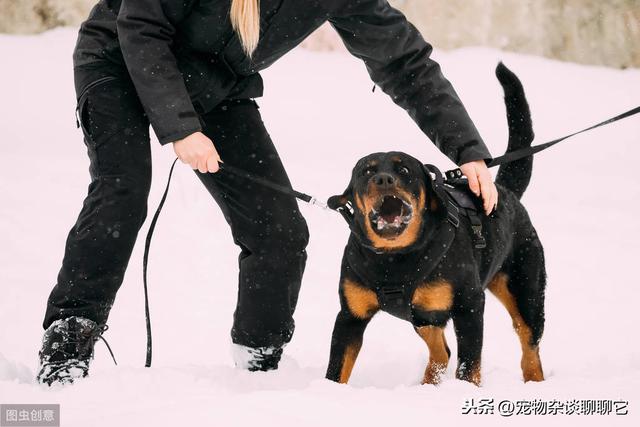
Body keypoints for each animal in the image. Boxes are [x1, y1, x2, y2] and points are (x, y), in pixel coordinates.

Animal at [324, 64, 544, 388]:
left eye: (404, 169)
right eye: (366, 172)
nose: (383, 179)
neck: (395, 259)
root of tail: (505, 192)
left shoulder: (470, 304)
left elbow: (469, 364)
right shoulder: (350, 315)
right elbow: (337, 369)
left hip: (525, 289)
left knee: (529, 344)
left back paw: (534, 382)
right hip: (425, 314)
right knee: (441, 351)